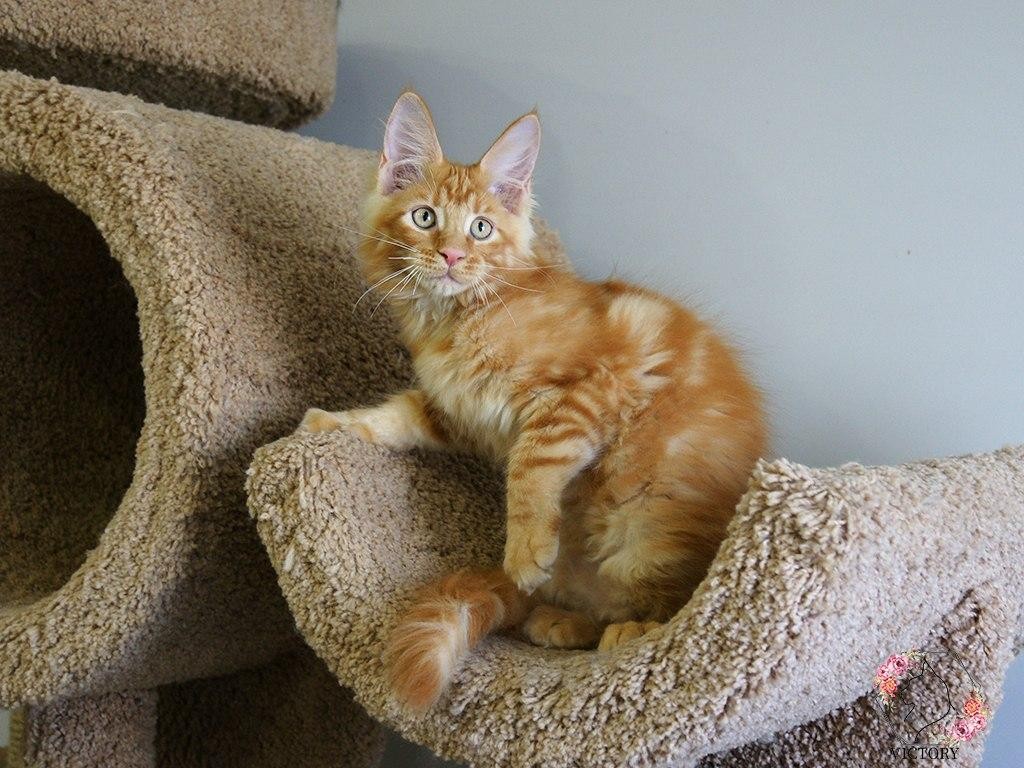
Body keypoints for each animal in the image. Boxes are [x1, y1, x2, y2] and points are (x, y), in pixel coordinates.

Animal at [299, 91, 767, 711]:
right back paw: (562, 621)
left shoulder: (589, 388)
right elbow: (394, 417)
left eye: (480, 229)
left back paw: (632, 629)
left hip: (651, 524)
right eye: (425, 217)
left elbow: (531, 466)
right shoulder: (453, 408)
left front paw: (524, 550)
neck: (457, 318)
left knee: (668, 603)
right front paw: (332, 423)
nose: (451, 256)